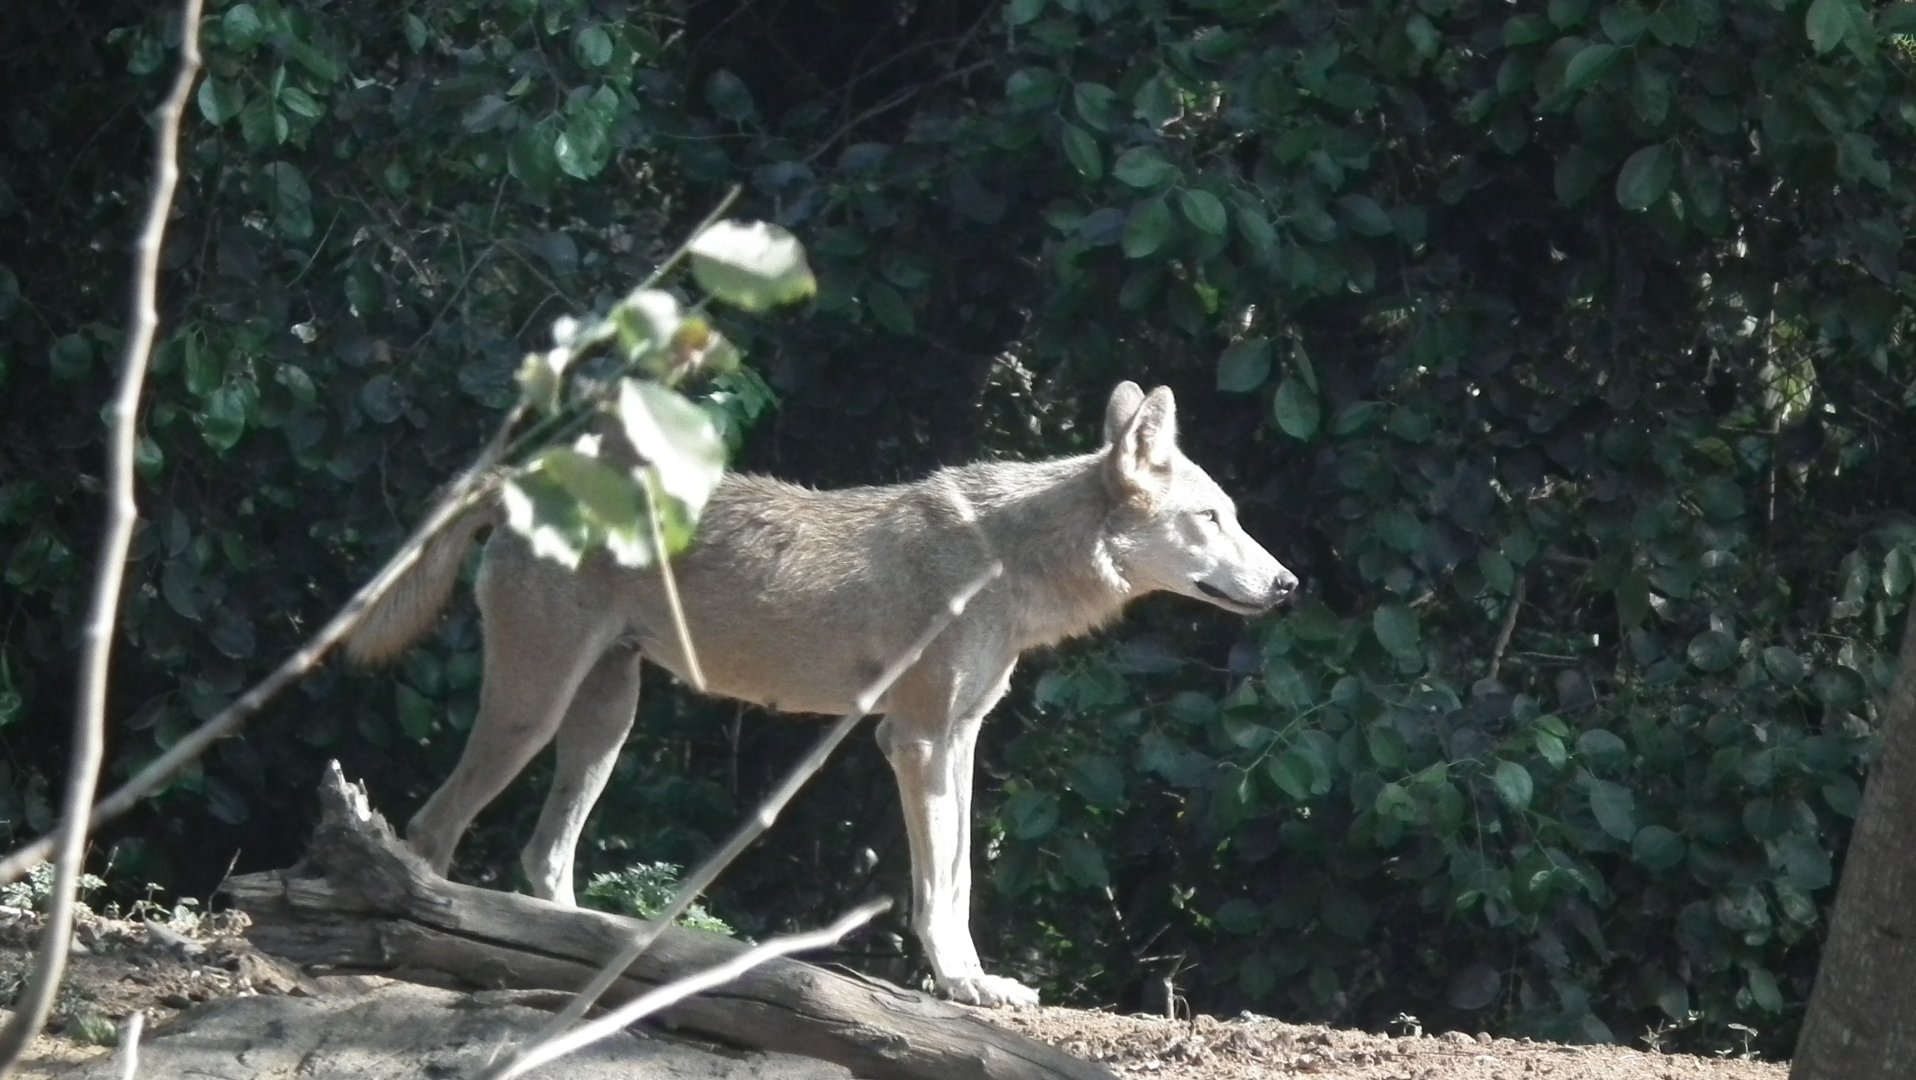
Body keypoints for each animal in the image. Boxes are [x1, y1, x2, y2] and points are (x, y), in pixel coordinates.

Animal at [345, 380, 1297, 1008]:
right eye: (1213, 519)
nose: (1288, 585)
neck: (1007, 559)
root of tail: (524, 480)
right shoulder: (914, 740)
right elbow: (937, 890)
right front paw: (964, 985)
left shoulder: (959, 738)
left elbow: (958, 879)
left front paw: (977, 980)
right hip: (532, 713)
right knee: (434, 828)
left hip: (607, 722)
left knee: (545, 856)